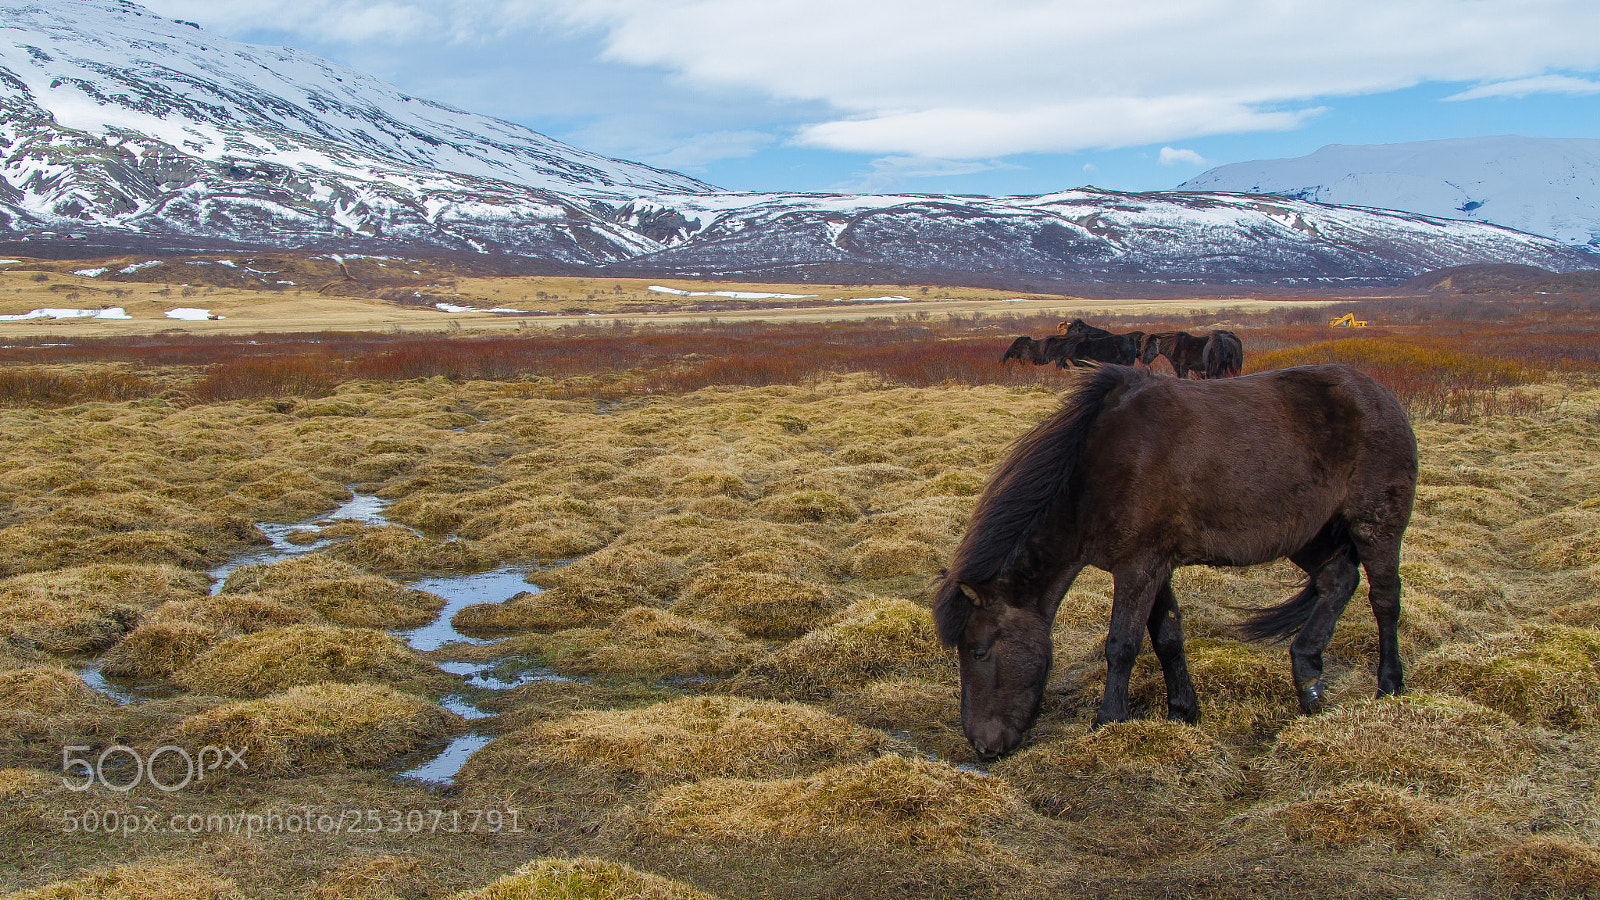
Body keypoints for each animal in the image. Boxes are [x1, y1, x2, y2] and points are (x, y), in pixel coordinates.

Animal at [932, 364, 1417, 759]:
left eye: (978, 650)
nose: (982, 746)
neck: (1099, 469)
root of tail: (1380, 395)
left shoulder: (1138, 567)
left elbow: (1122, 644)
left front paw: (1109, 721)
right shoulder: (1156, 568)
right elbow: (1167, 637)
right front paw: (1183, 711)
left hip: (1376, 527)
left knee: (1384, 601)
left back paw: (1389, 686)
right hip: (1309, 534)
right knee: (1338, 580)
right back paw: (1308, 676)